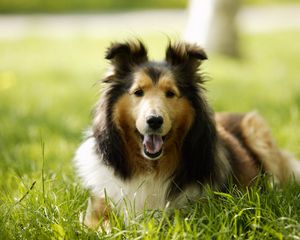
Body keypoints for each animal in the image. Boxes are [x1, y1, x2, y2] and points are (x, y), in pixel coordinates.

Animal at [73, 40, 300, 230]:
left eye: (170, 93)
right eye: (138, 92)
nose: (154, 121)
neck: (151, 167)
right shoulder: (96, 212)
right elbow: (107, 226)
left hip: (257, 129)